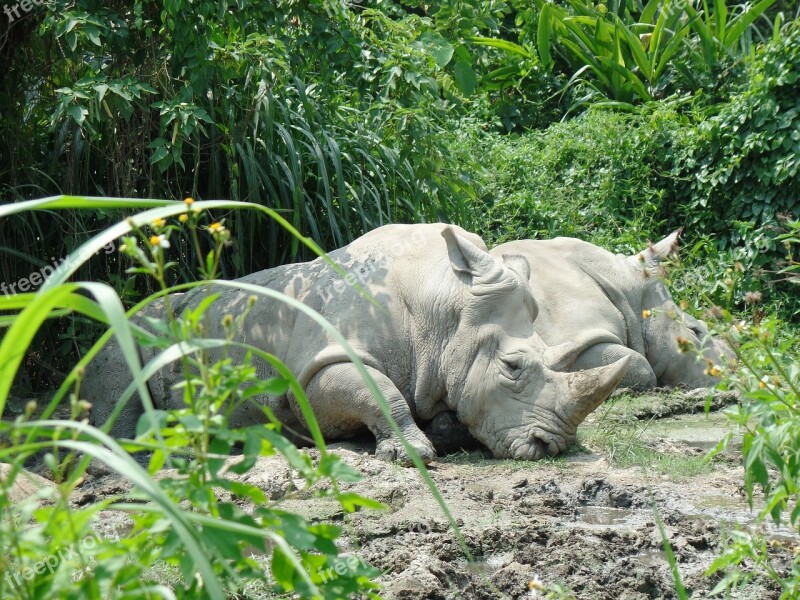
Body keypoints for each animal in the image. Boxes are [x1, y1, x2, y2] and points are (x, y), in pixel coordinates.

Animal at [86, 223, 624, 462]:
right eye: (512, 368)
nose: (553, 446)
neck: (443, 309)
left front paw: (442, 430)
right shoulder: (318, 366)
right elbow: (379, 392)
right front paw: (413, 452)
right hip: (123, 328)